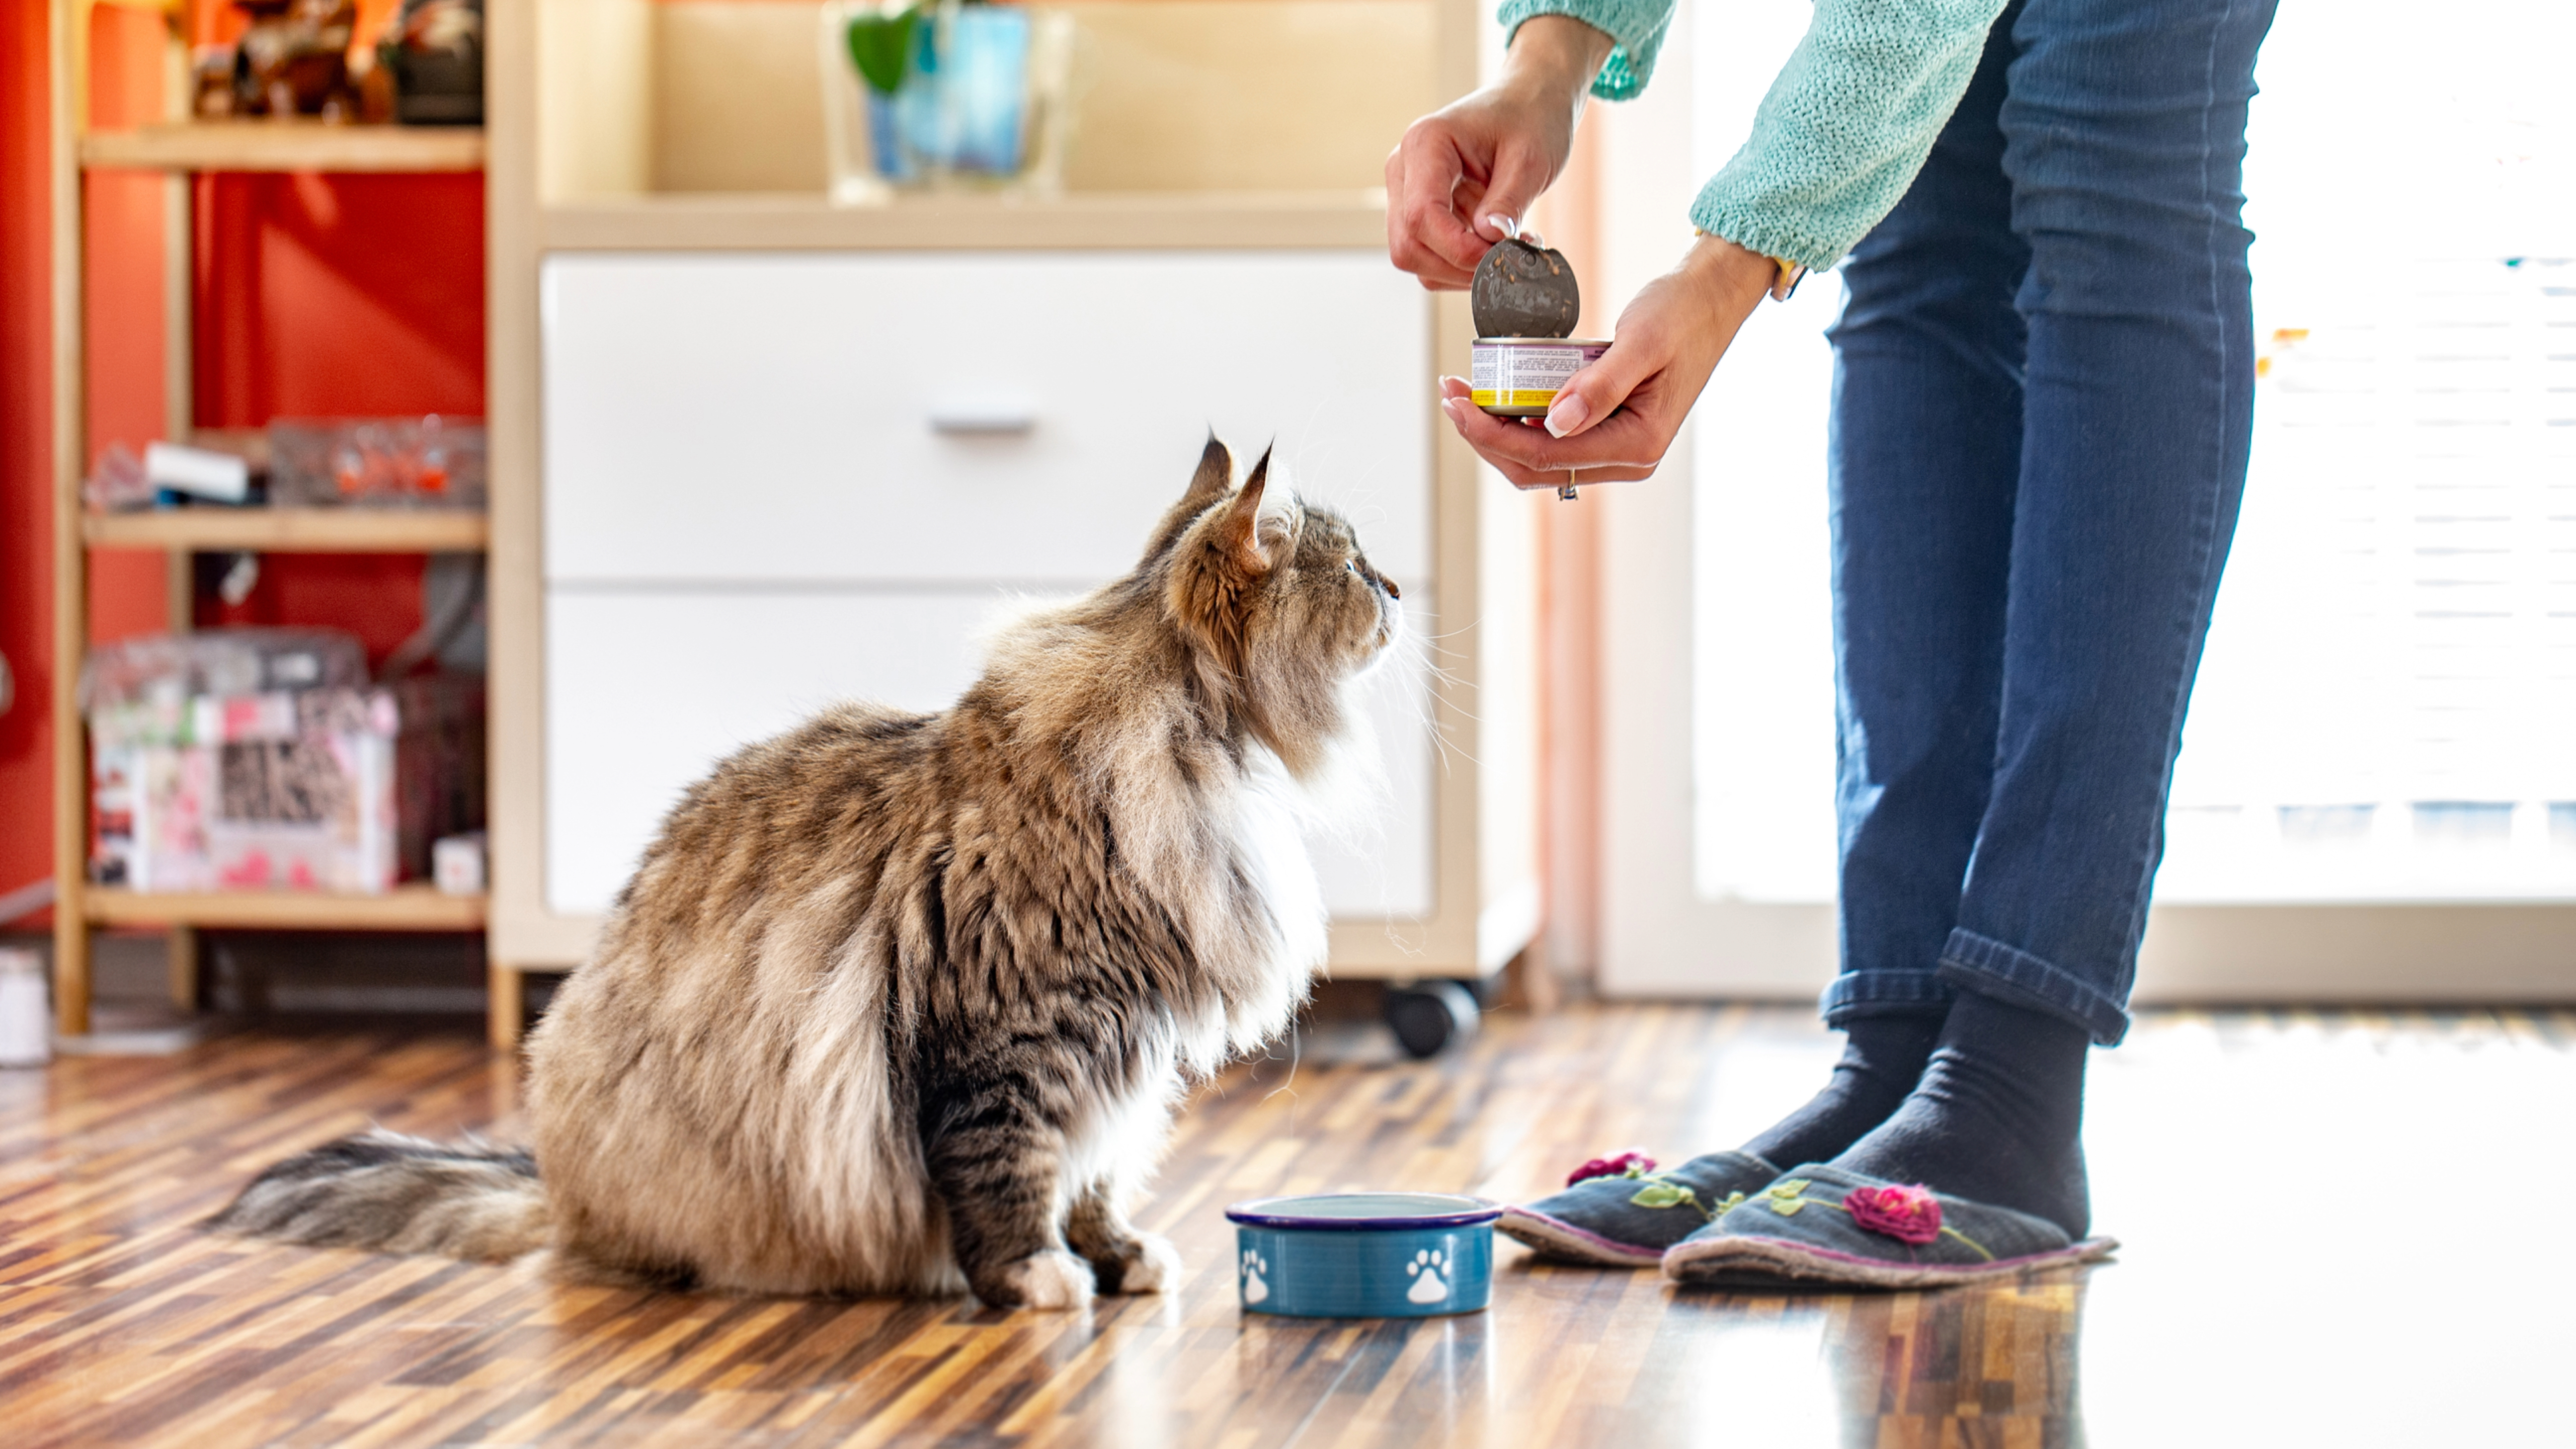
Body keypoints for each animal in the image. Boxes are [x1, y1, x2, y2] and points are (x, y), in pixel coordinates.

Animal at [206, 433, 1411, 1304]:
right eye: (1353, 565)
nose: (1400, 589)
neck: (1195, 759)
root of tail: (553, 1184)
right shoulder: (1014, 1041)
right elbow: (1013, 1175)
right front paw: (1036, 1280)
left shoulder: (1128, 1050)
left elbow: (1100, 1171)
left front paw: (1116, 1259)